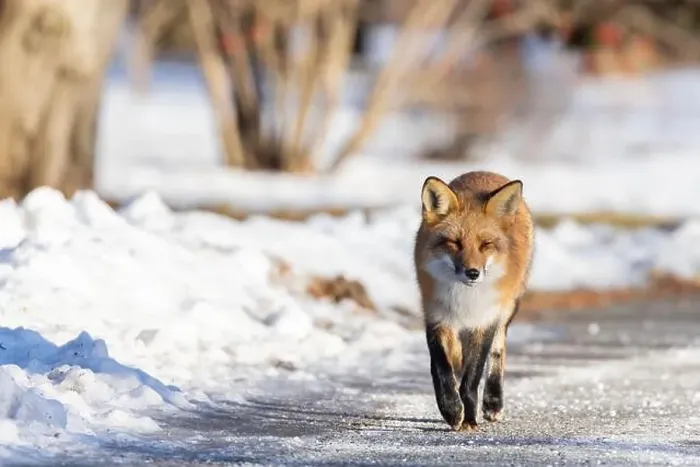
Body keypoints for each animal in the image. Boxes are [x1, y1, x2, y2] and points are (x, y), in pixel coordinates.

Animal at [413, 171, 534, 432]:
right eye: (455, 242)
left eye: (485, 244)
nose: (472, 273)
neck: (464, 299)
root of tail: (486, 173)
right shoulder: (436, 316)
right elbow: (441, 369)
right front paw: (451, 409)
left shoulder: (484, 321)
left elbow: (471, 378)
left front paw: (469, 417)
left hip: (507, 308)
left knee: (497, 353)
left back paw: (493, 401)